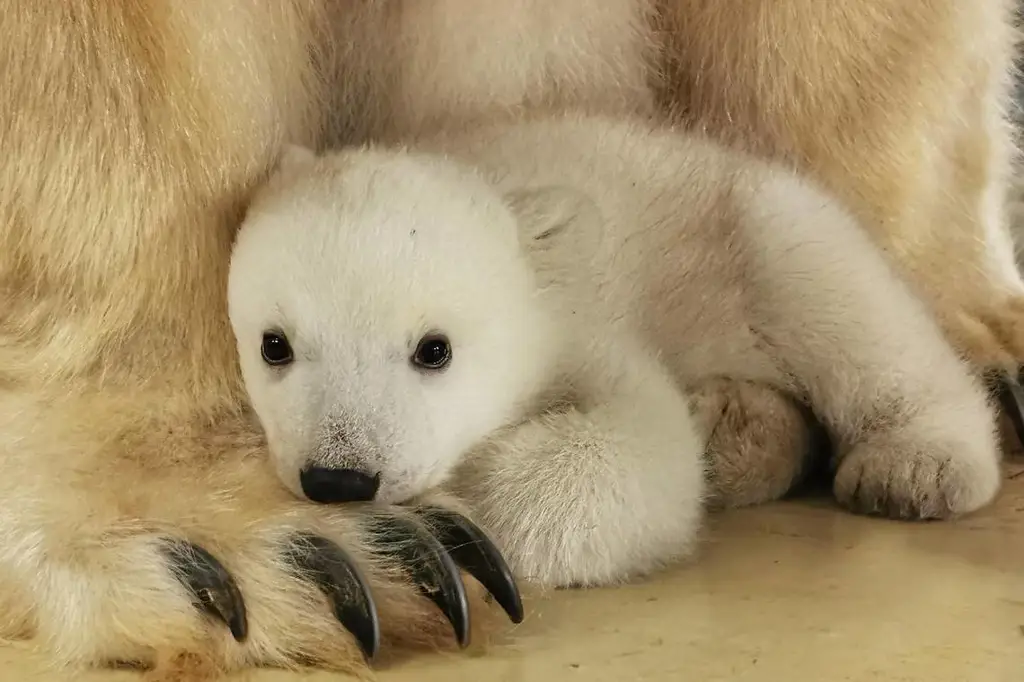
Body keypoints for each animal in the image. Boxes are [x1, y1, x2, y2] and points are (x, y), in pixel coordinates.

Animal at [0, 0, 1019, 671]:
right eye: (274, 344)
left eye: (434, 349)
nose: (341, 479)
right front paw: (286, 548)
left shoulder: (586, 313)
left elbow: (639, 449)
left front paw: (457, 519)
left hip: (744, 227)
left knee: (835, 287)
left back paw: (917, 456)